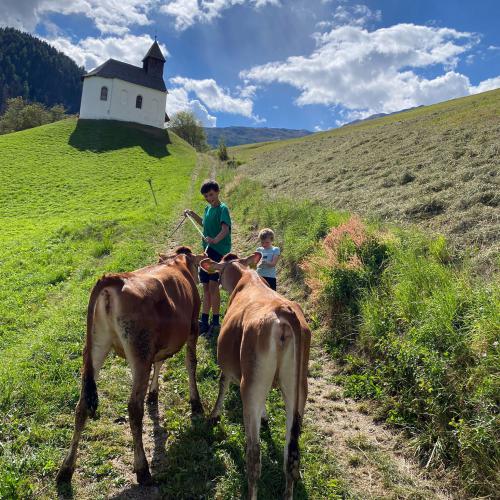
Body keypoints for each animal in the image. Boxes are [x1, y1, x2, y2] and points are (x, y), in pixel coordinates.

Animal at [57, 245, 206, 484]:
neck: (177, 262)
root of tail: (115, 279)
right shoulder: (193, 326)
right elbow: (190, 363)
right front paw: (196, 403)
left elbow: (160, 361)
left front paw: (153, 394)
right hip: (140, 351)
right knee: (134, 408)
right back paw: (142, 468)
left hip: (95, 346)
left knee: (81, 406)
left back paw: (66, 469)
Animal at [198, 254, 308, 500]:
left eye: (219, 272)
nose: (219, 282)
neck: (246, 276)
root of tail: (283, 311)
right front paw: (265, 415)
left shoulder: (227, 364)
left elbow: (222, 385)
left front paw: (213, 416)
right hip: (298, 386)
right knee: (291, 452)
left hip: (250, 385)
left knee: (254, 456)